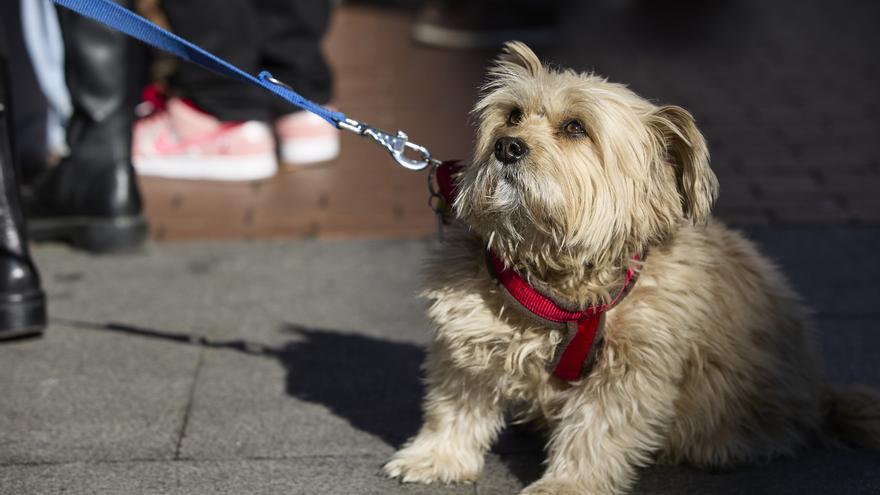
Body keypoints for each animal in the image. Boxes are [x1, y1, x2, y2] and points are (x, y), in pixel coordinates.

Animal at [384, 43, 880, 495]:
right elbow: (455, 405)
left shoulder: (630, 369)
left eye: (575, 127)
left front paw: (568, 486)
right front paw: (436, 456)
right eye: (512, 115)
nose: (507, 146)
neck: (560, 280)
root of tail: (821, 398)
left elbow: (595, 433)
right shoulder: (468, 334)